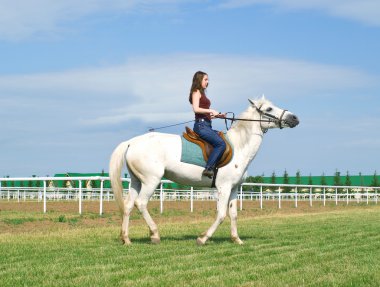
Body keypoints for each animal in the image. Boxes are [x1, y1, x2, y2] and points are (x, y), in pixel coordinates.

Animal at [108, 97, 298, 245]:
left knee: (128, 206)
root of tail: (131, 142)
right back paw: (154, 235)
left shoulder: (234, 188)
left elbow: (234, 214)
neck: (239, 147)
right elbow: (221, 214)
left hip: (136, 181)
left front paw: (236, 239)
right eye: (268, 109)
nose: (294, 117)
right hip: (151, 181)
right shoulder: (223, 188)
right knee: (140, 203)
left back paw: (126, 239)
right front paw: (203, 238)